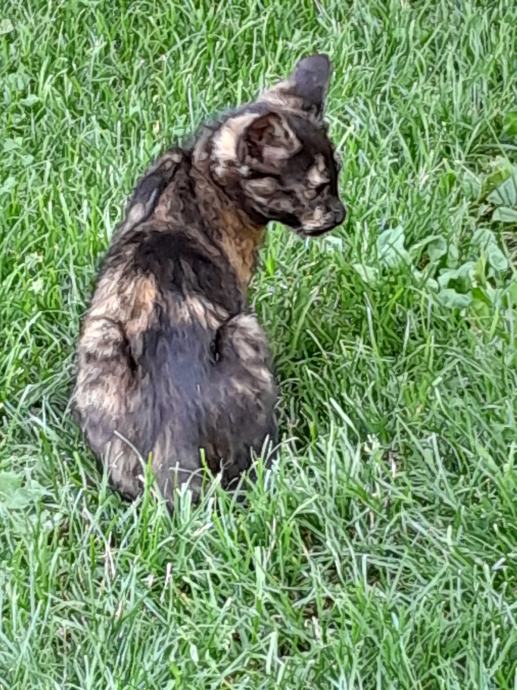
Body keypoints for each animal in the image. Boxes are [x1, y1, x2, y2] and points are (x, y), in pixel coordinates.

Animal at [72, 54, 345, 508]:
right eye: (319, 188)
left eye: (337, 178)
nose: (341, 213)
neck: (200, 168)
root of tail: (174, 450)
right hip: (245, 329)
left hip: (100, 337)